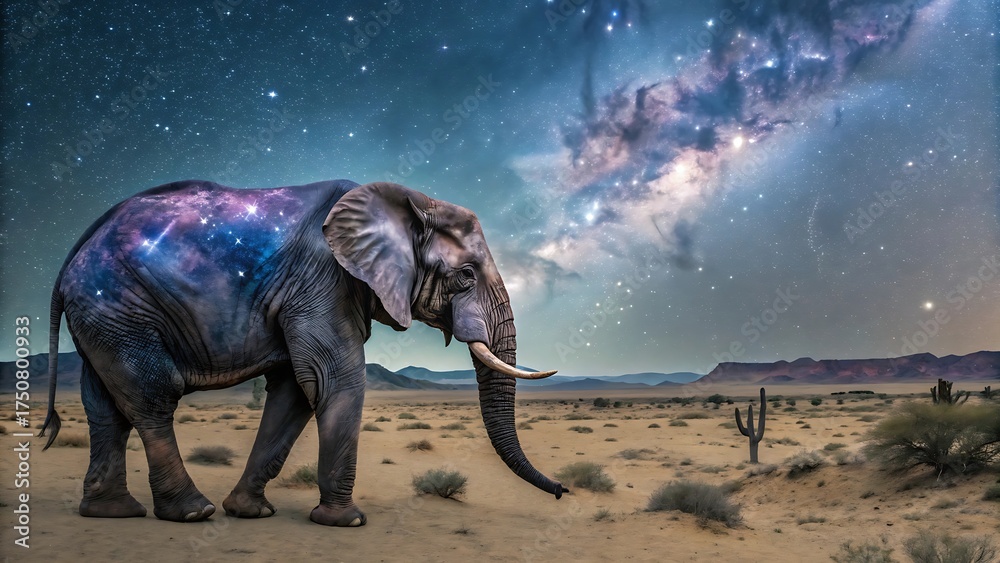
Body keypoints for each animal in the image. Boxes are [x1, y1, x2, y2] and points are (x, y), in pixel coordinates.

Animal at [39, 179, 566, 526]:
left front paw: (250, 512)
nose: (561, 491)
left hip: (104, 317)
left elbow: (294, 390)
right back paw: (191, 512)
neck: (408, 201)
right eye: (466, 275)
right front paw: (346, 522)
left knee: (105, 407)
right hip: (119, 305)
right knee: (151, 398)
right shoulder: (323, 279)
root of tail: (69, 260)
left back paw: (112, 512)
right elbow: (336, 379)